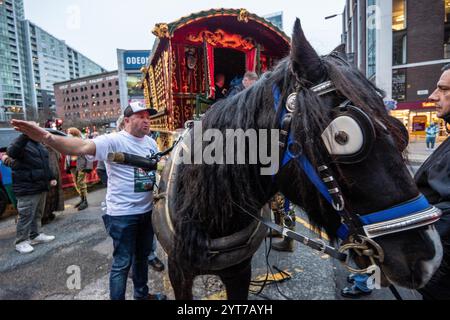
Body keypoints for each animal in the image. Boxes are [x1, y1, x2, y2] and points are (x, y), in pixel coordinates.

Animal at [152, 20, 442, 300]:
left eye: (399, 129)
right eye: (343, 136)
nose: (429, 257)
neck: (211, 218)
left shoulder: (239, 272)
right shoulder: (179, 272)